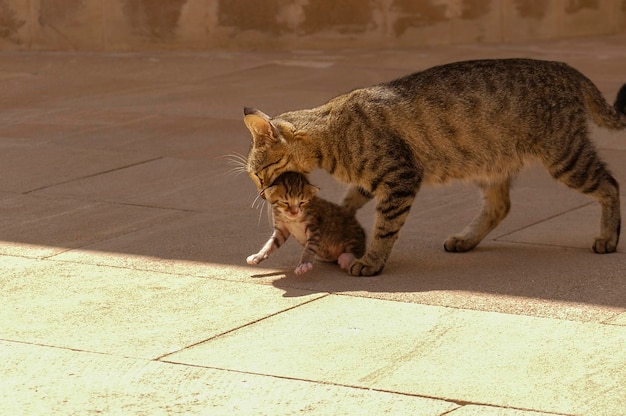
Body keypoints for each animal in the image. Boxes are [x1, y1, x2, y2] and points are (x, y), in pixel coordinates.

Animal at [243, 57, 624, 276]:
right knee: (500, 206)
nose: (260, 195)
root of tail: (570, 70)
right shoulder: (373, 180)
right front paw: (338, 224)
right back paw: (466, 239)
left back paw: (608, 237)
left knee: (611, 184)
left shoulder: (400, 177)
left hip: (565, 157)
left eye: (258, 174)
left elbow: (385, 227)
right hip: (491, 164)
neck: (331, 134)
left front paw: (372, 262)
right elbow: (349, 201)